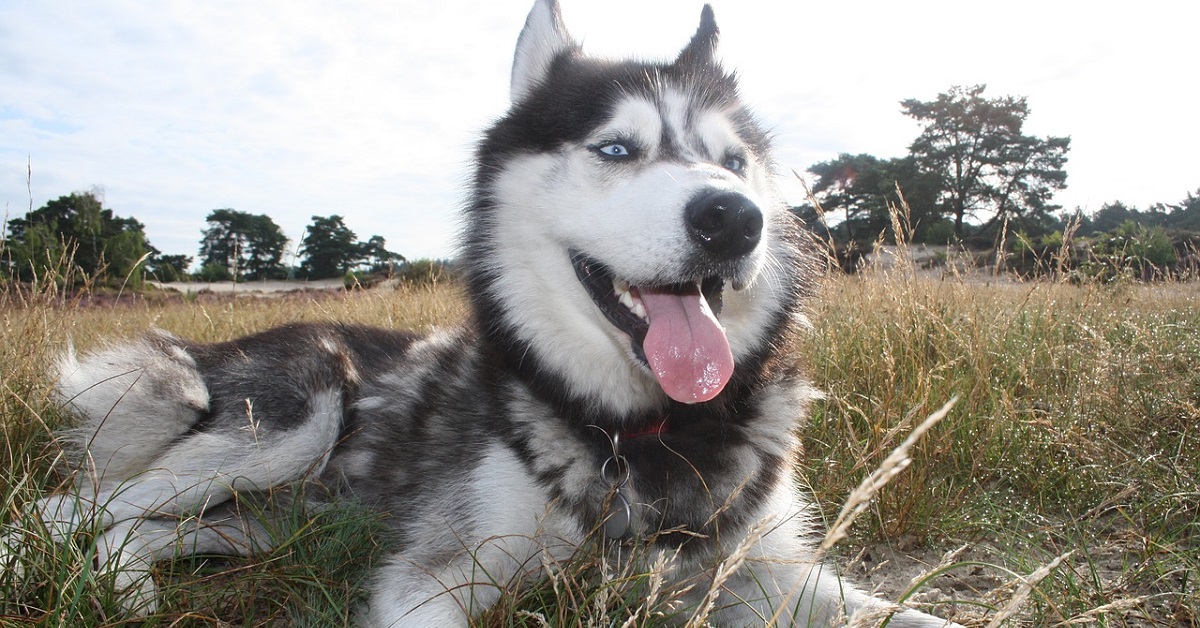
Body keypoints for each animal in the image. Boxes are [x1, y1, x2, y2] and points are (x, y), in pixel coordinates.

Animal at [30, 0, 964, 624]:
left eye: (733, 162)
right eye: (616, 148)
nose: (734, 219)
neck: (648, 429)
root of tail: (211, 344)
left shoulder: (770, 571)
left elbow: (914, 611)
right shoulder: (433, 576)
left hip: (263, 519)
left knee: (140, 528)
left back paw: (127, 583)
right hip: (294, 417)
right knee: (66, 509)